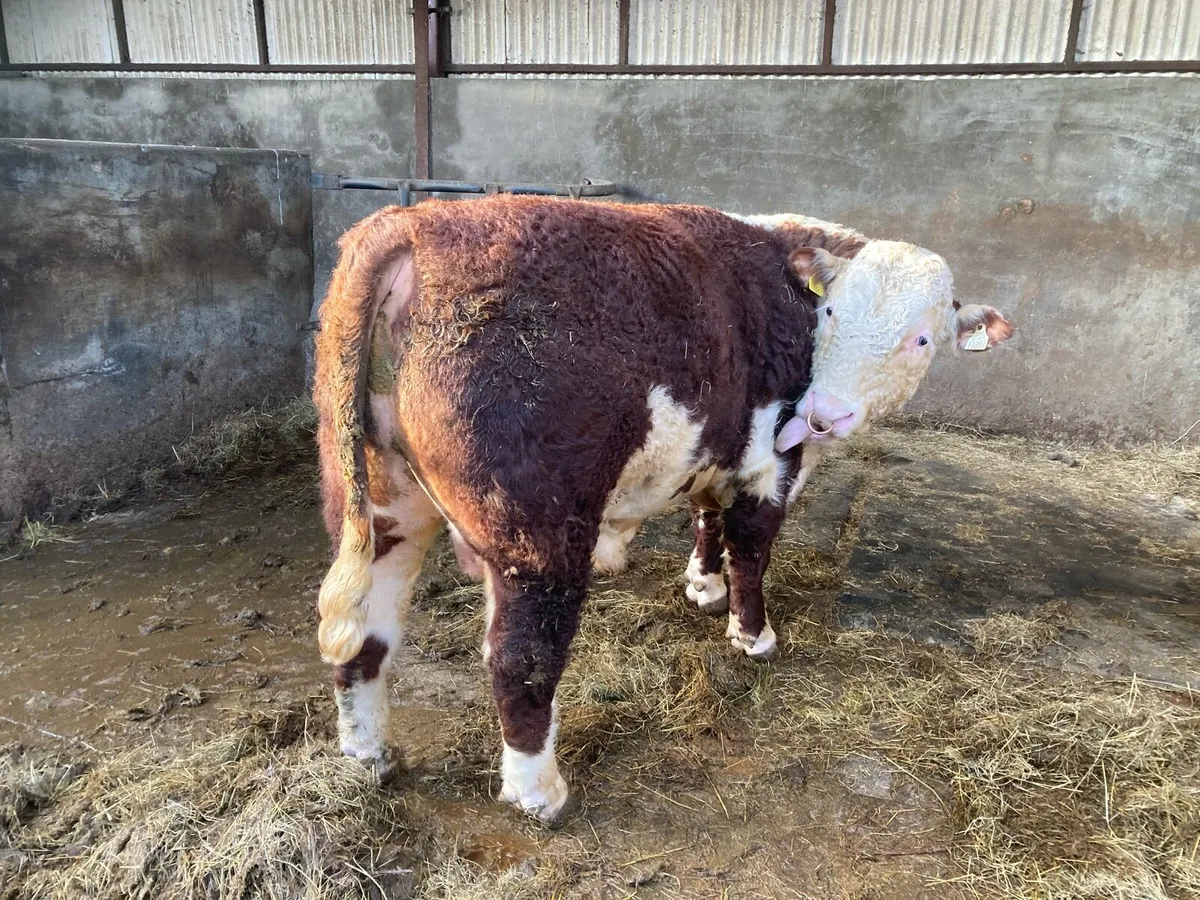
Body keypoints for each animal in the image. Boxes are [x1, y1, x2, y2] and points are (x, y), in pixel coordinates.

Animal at [313, 196, 1013, 825]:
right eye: (832, 310)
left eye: (919, 338)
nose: (824, 413)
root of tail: (413, 226)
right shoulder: (774, 466)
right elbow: (752, 550)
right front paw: (752, 634)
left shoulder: (717, 452)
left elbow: (708, 518)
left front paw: (703, 585)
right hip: (535, 534)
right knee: (521, 658)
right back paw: (541, 793)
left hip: (380, 505)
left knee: (365, 637)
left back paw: (369, 756)